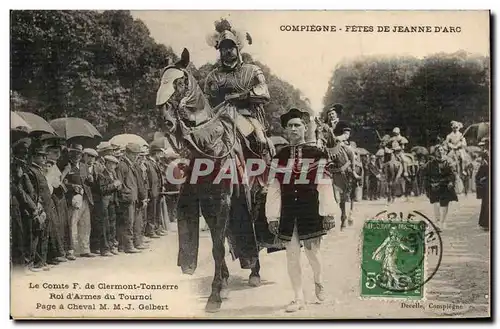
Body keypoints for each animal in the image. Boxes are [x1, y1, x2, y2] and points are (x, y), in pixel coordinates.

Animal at [154, 48, 268, 310]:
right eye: (160, 81)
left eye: (179, 82)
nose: (166, 121)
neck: (209, 146)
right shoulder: (206, 203)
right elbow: (220, 242)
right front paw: (222, 284)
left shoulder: (223, 200)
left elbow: (217, 247)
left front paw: (215, 295)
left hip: (255, 195)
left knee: (255, 228)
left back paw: (255, 272)